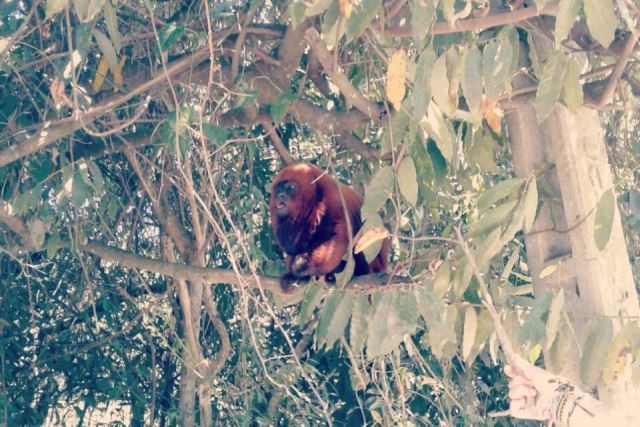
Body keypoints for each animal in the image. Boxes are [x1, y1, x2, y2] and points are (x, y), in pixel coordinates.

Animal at [269, 163, 389, 293]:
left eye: (290, 187)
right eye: (278, 189)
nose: (280, 195)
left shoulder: (333, 197)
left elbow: (337, 239)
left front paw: (305, 265)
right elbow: (293, 247)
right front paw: (292, 274)